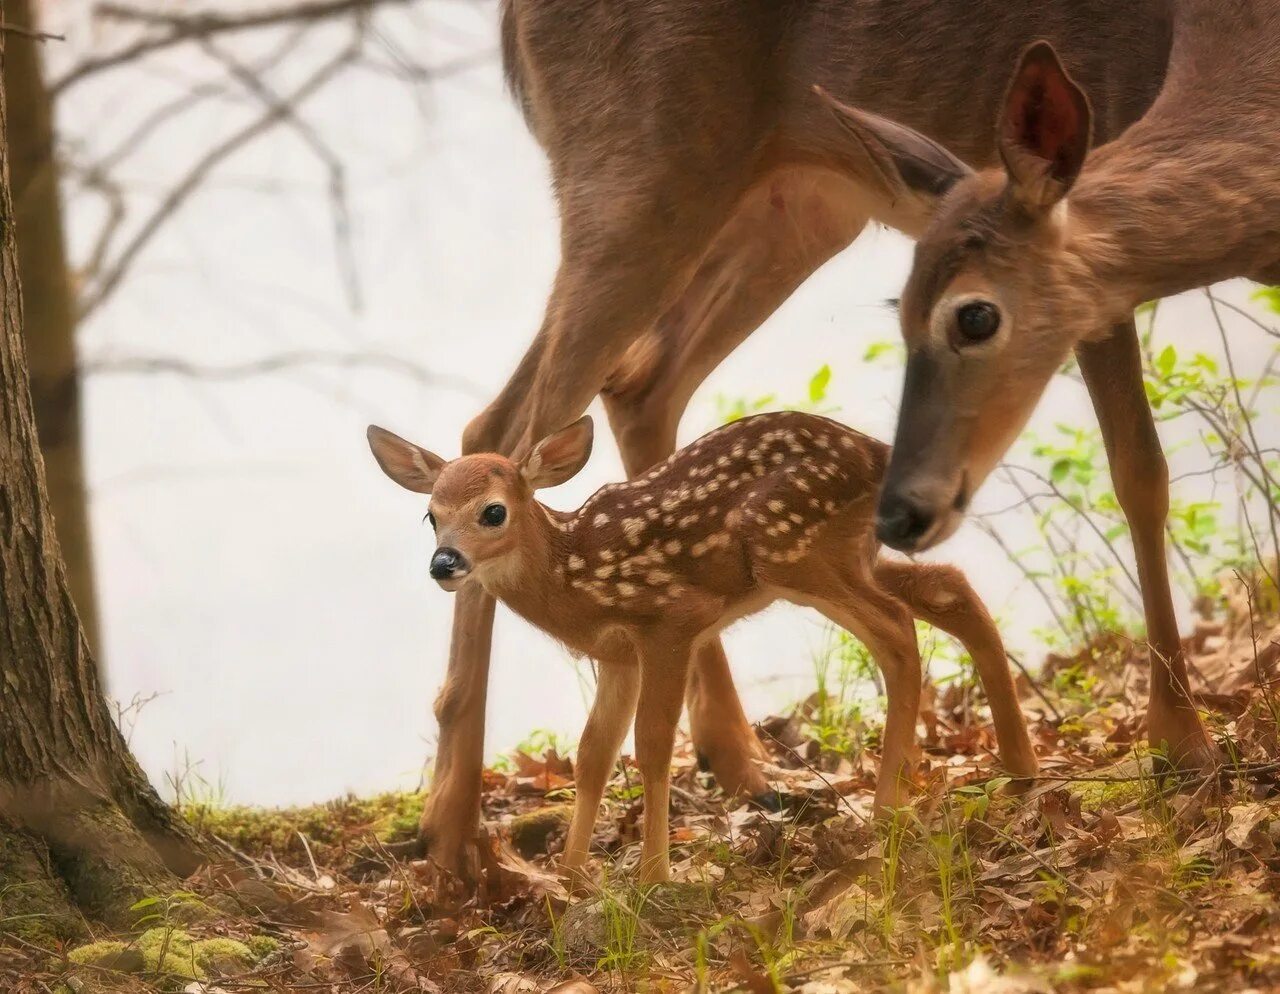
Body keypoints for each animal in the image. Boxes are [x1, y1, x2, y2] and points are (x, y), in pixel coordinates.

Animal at [409, 0, 1187, 875]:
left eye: (492, 515)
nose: (444, 558)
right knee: (513, 419)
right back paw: (456, 833)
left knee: (638, 390)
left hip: (796, 205)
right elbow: (1139, 470)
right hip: (647, 179)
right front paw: (1179, 740)